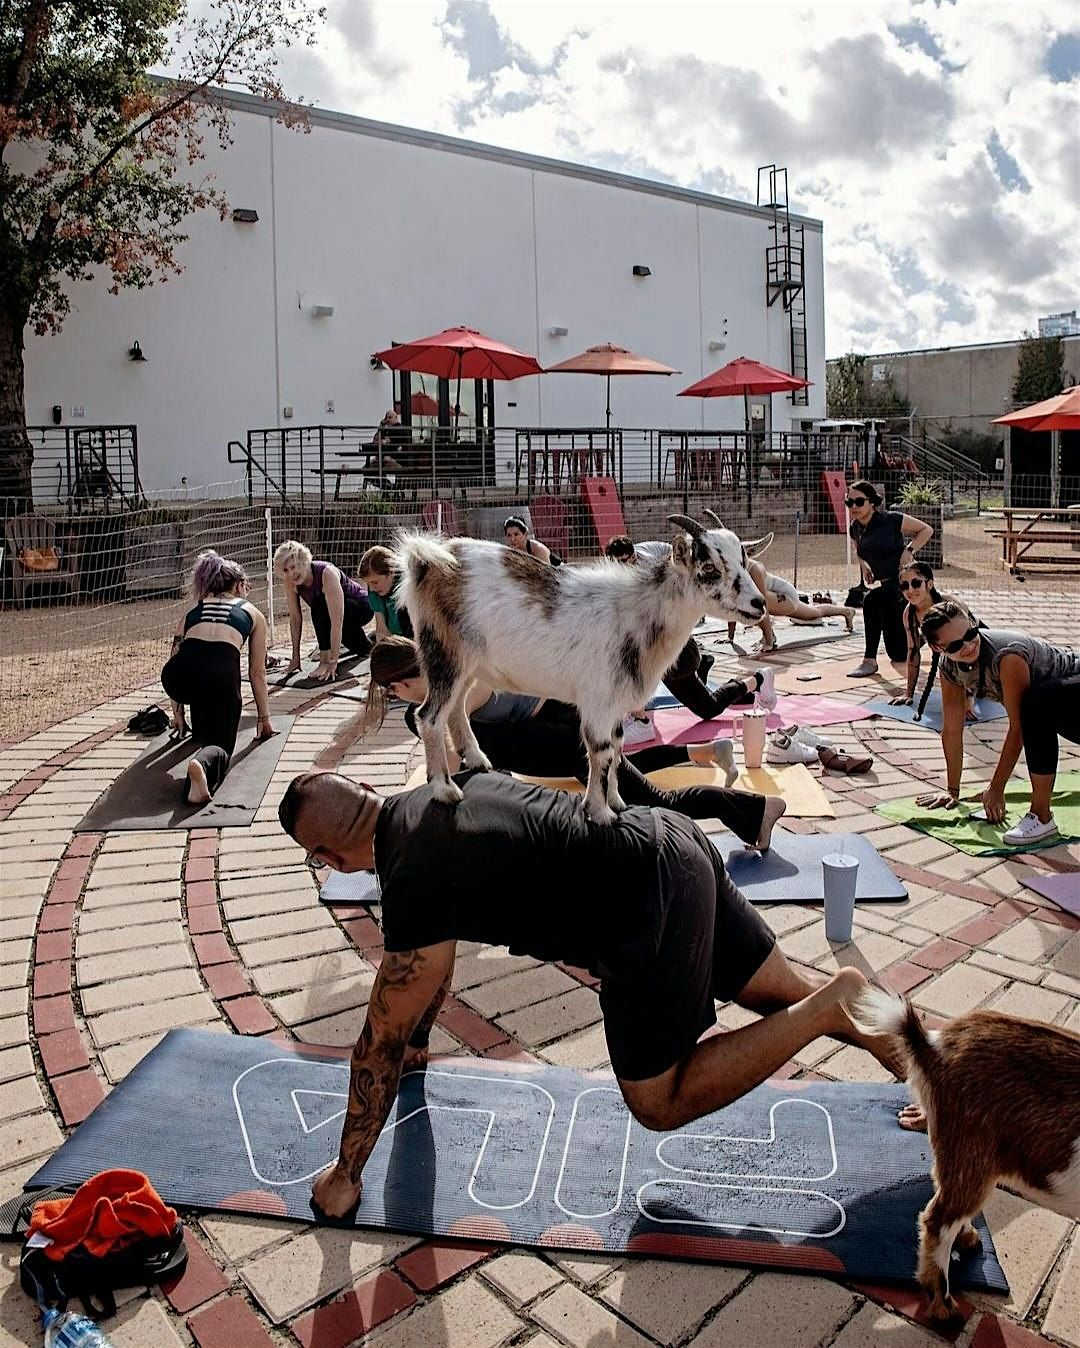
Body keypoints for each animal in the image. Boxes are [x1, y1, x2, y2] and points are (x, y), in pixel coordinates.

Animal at [391, 506, 760, 814]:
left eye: (744, 562)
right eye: (709, 568)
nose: (758, 604)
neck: (635, 612)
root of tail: (426, 560)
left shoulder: (613, 704)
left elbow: (617, 748)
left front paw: (617, 802)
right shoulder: (597, 699)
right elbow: (601, 751)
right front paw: (599, 813)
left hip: (468, 665)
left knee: (456, 708)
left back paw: (477, 760)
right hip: (444, 654)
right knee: (429, 716)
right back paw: (445, 790)